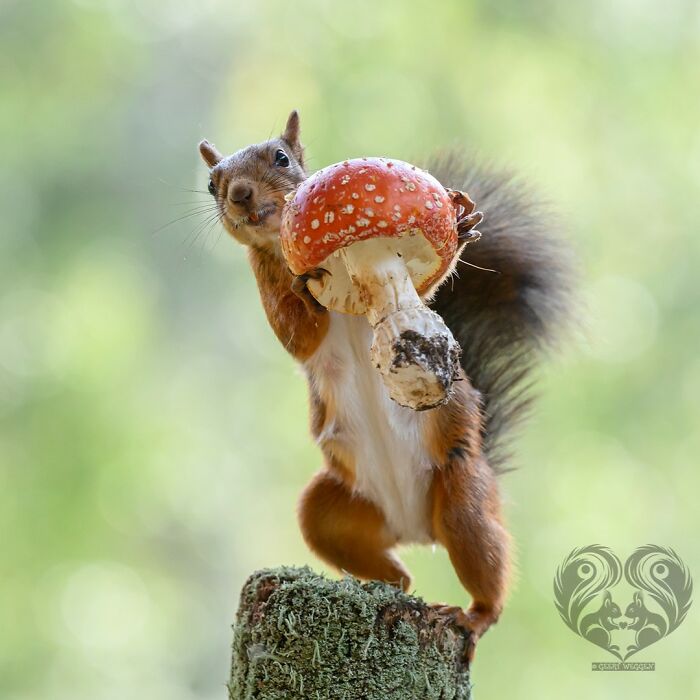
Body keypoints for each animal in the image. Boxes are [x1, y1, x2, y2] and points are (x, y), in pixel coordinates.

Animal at [198, 110, 573, 661]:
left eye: (281, 158)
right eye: (212, 184)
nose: (240, 194)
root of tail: (412, 527)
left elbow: (426, 288)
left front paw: (462, 225)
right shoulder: (267, 288)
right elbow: (297, 333)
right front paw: (303, 285)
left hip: (462, 492)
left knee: (480, 556)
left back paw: (474, 614)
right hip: (332, 510)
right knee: (374, 557)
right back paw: (386, 584)